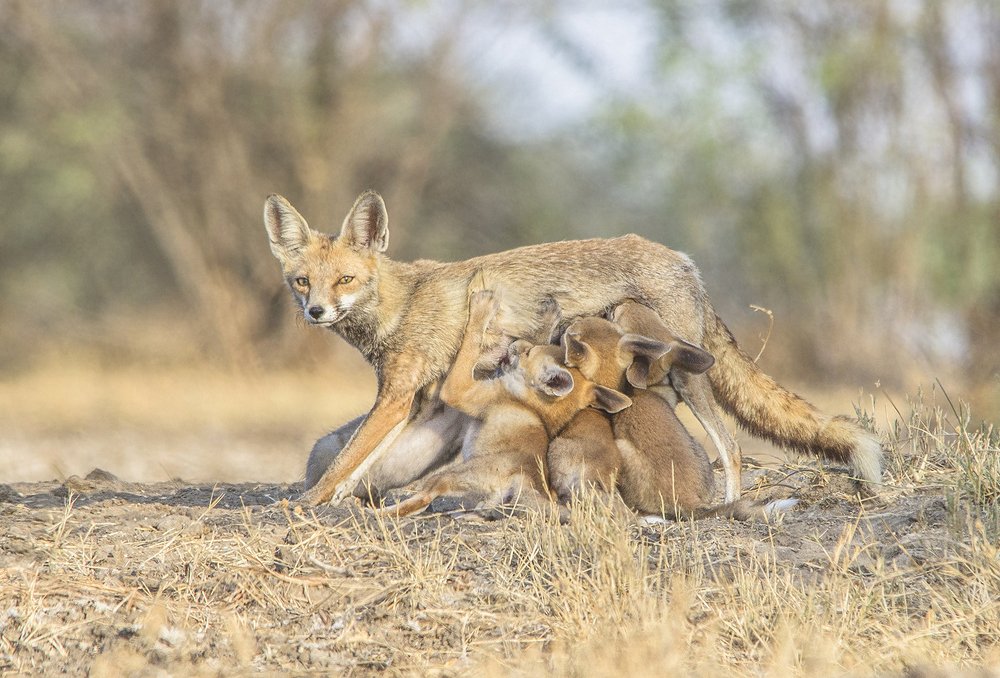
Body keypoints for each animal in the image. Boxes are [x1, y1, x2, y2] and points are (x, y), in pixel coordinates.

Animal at [380, 289, 631, 517]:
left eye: (529, 352)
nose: (516, 343)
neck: (528, 403)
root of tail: (527, 482)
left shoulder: (460, 391)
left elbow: (470, 344)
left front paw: (481, 310)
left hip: (446, 476)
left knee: (421, 500)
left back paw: (379, 513)